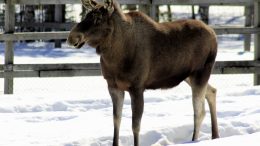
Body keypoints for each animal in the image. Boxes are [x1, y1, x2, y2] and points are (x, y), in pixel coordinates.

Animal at [67, 0, 219, 145]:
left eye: (98, 19)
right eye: (86, 16)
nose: (71, 37)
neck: (115, 56)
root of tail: (213, 33)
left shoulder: (137, 87)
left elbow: (135, 125)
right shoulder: (113, 86)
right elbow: (116, 121)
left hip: (201, 72)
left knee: (199, 111)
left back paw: (195, 140)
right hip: (190, 76)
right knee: (212, 91)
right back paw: (215, 135)